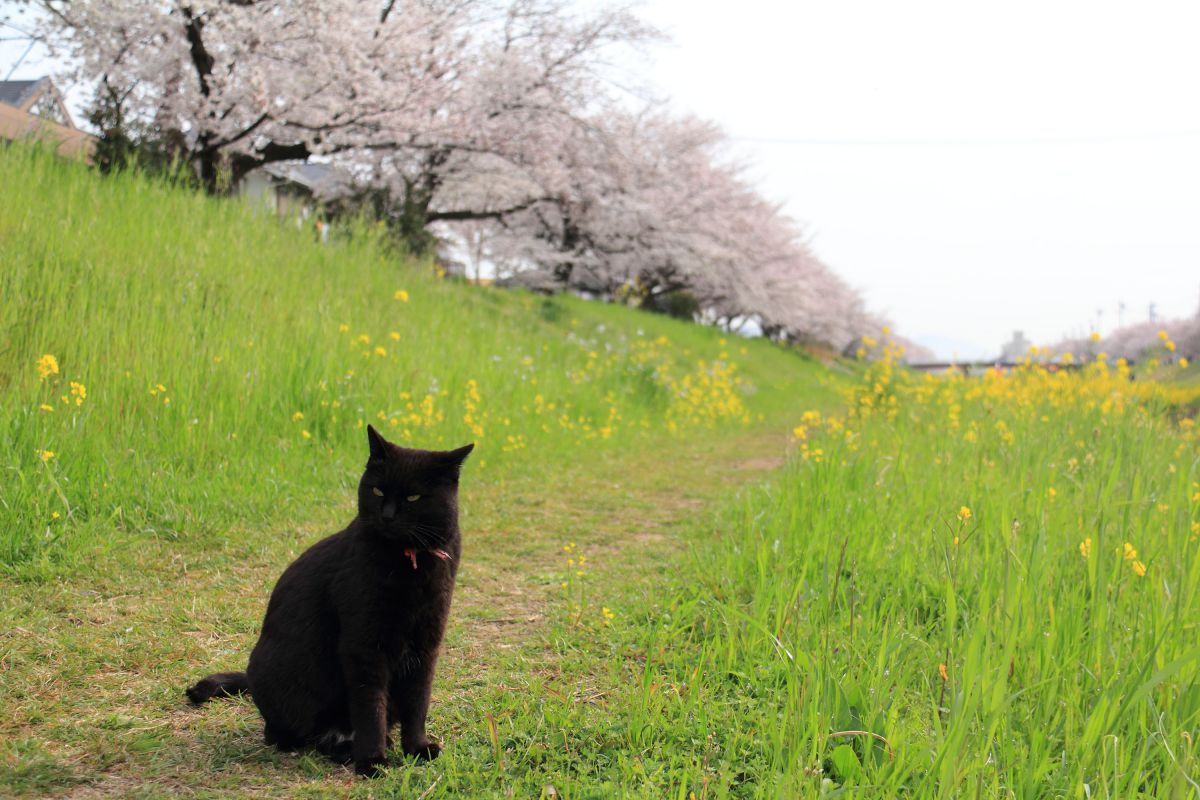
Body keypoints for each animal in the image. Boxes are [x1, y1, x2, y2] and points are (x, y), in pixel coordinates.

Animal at [184, 429, 470, 777]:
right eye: (377, 490)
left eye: (413, 498)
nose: (387, 515)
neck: (409, 562)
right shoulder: (364, 645)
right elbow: (370, 706)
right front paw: (372, 761)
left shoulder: (426, 642)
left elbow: (417, 702)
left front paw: (416, 748)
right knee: (291, 733)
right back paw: (341, 748)